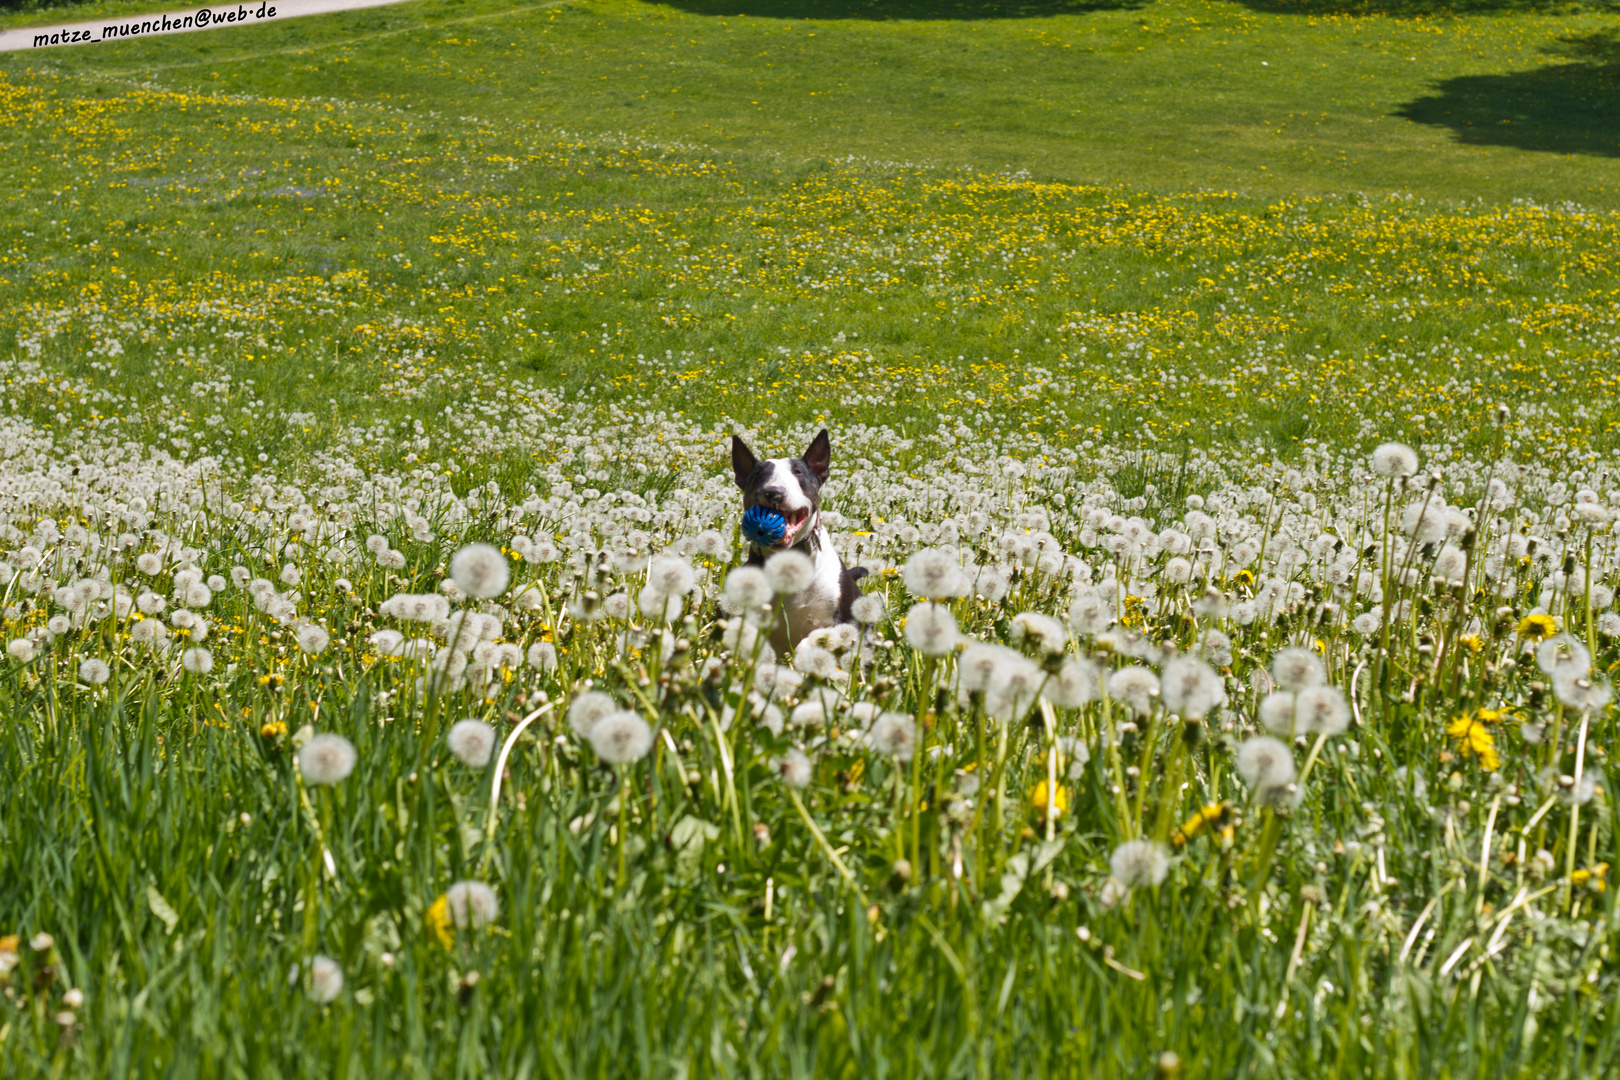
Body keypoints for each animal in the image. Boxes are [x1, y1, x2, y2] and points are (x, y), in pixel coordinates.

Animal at [732, 427, 861, 650]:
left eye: (798, 472)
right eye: (758, 474)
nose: (773, 492)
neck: (789, 558)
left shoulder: (841, 623)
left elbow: (810, 641)